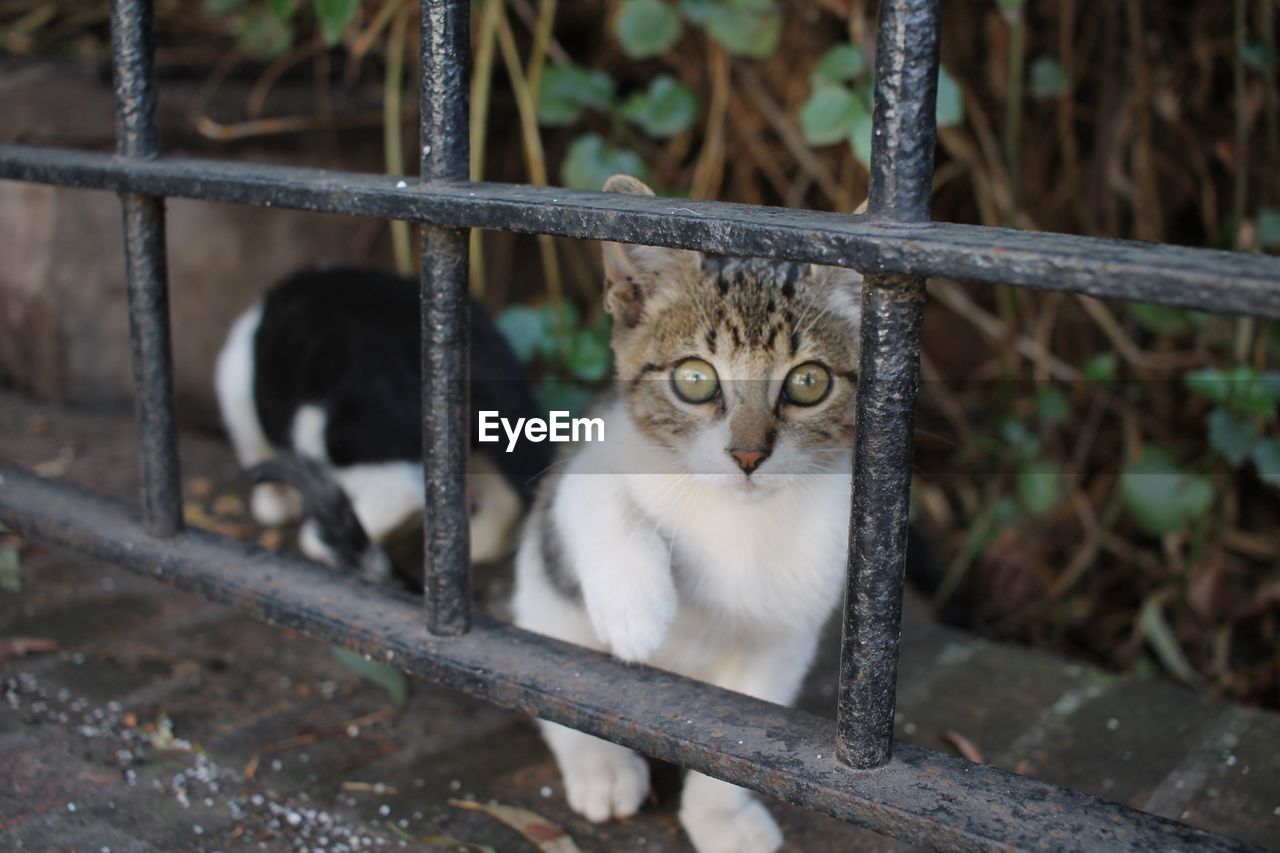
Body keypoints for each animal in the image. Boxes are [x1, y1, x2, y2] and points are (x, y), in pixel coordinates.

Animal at [213, 266, 550, 578]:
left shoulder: (239, 397)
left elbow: (254, 451)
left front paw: (272, 504)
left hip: (334, 426)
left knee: (400, 490)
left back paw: (321, 540)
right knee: (500, 491)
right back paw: (478, 543)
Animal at [512, 174, 860, 850]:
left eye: (808, 383)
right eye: (695, 379)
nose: (747, 454)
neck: (737, 517)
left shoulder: (784, 640)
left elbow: (739, 734)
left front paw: (722, 819)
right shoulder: (590, 456)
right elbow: (596, 498)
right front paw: (635, 609)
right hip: (543, 610)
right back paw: (602, 767)